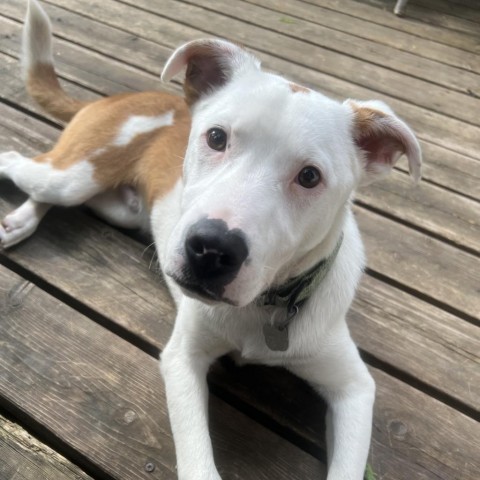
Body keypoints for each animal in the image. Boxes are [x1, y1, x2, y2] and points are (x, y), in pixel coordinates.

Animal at [0, 1, 420, 478]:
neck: (262, 308)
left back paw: (20, 221)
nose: (211, 250)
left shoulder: (354, 387)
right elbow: (198, 459)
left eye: (310, 177)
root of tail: (117, 98)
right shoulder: (182, 359)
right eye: (217, 137)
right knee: (15, 159)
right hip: (74, 175)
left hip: (112, 203)